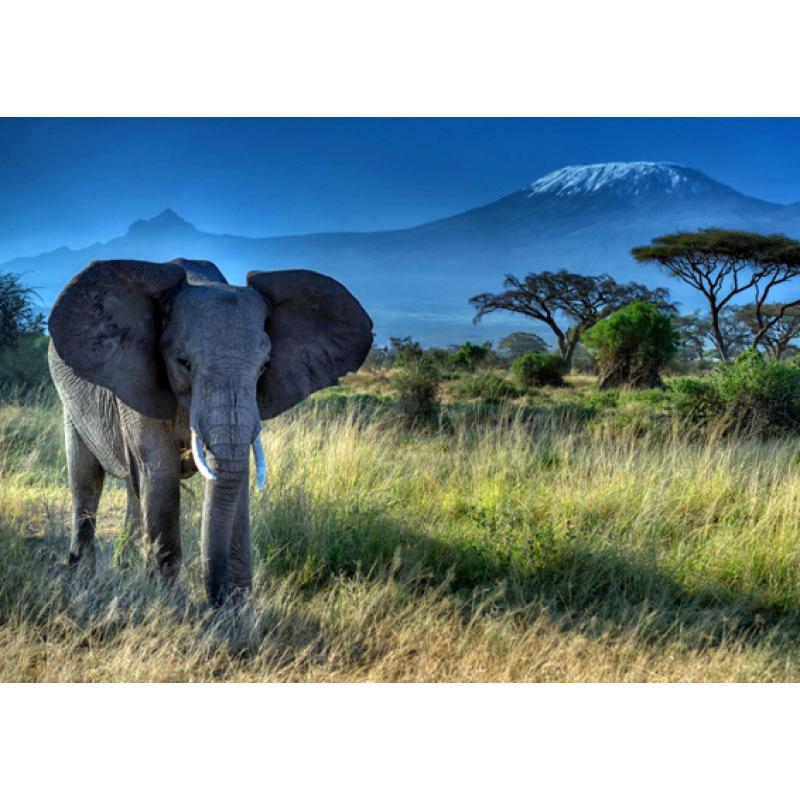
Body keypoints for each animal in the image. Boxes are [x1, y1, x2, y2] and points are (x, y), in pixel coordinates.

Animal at [47, 258, 373, 605]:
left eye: (264, 366)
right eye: (183, 362)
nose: (214, 601)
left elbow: (235, 479)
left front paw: (238, 610)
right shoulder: (136, 377)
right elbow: (160, 473)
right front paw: (167, 605)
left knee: (133, 488)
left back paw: (126, 569)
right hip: (69, 396)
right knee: (86, 476)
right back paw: (82, 573)